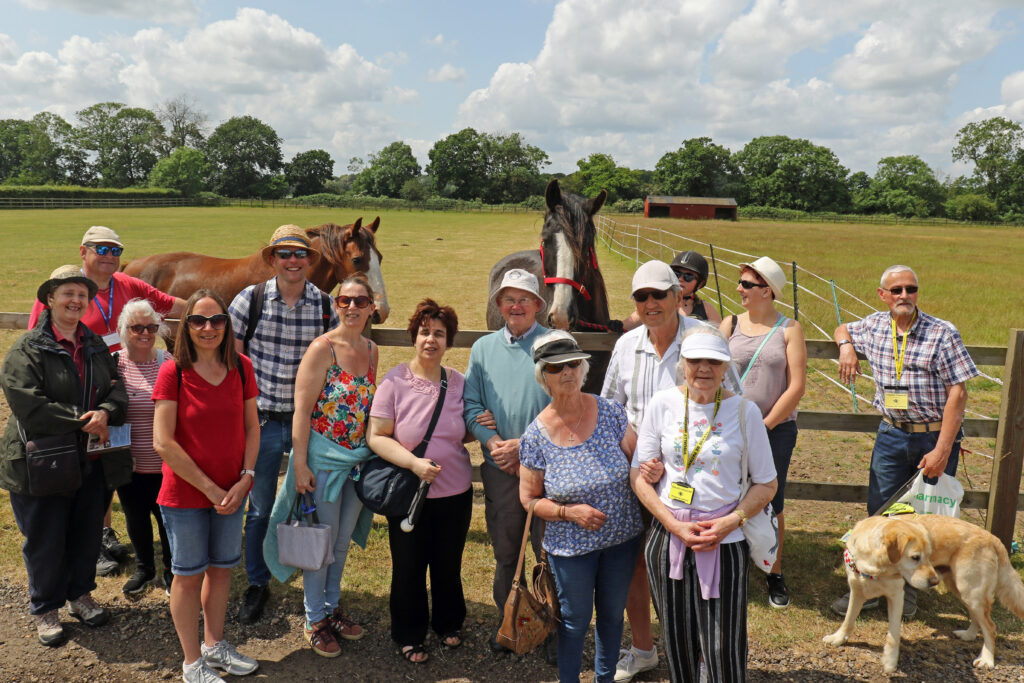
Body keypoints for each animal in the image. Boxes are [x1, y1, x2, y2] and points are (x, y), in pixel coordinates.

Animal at [823, 518, 942, 671]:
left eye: (928, 555)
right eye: (915, 557)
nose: (935, 582)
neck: (877, 569)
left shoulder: (896, 595)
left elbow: (894, 633)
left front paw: (890, 660)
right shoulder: (856, 590)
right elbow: (848, 619)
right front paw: (838, 638)